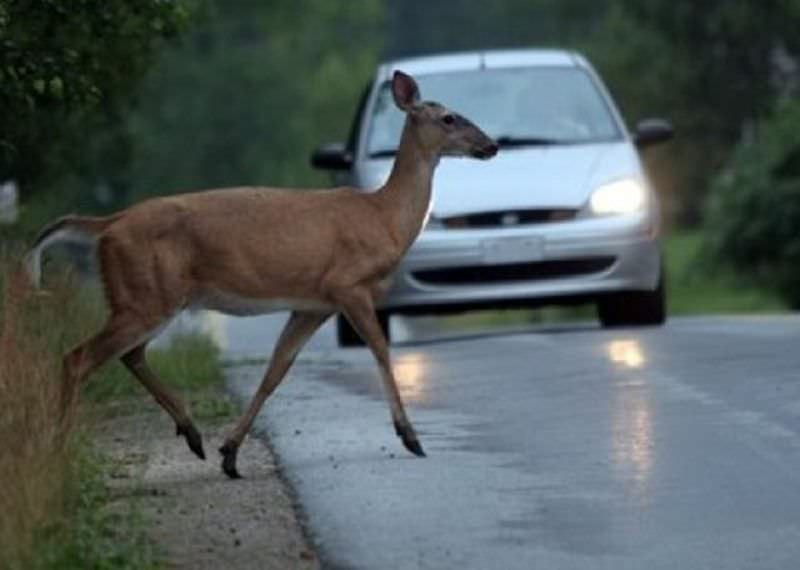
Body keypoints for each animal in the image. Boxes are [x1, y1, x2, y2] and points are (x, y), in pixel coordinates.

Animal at [25, 72, 496, 480]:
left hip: (146, 296)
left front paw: (230, 452)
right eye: (449, 117)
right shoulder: (348, 284)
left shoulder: (311, 304)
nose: (491, 145)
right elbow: (381, 349)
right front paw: (411, 438)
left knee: (129, 355)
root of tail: (108, 224)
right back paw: (57, 450)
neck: (384, 217)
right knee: (78, 358)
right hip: (147, 294)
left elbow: (276, 370)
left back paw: (193, 435)